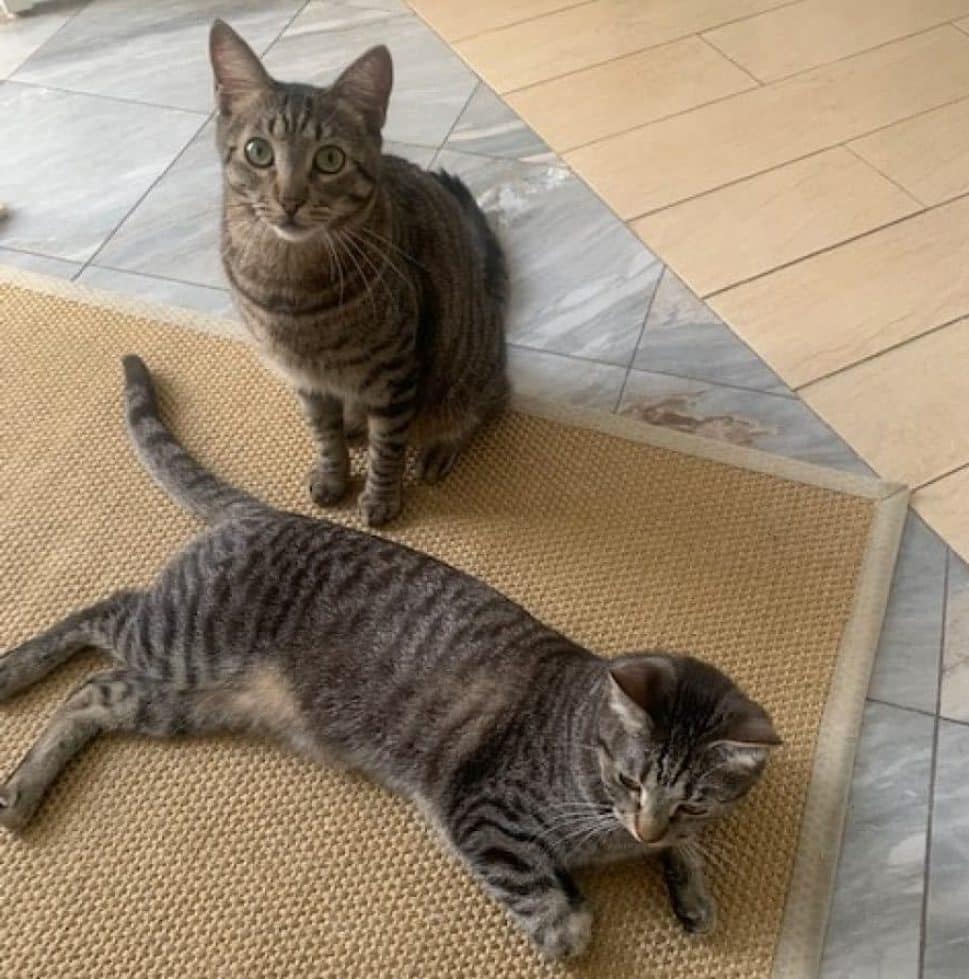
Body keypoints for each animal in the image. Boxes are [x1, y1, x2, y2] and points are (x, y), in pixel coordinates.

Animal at [0, 358, 780, 956]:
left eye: (688, 799)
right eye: (626, 778)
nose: (644, 824)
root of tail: (265, 513)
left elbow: (688, 845)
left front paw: (690, 885)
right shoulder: (482, 810)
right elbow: (551, 902)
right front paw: (571, 920)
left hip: (190, 698)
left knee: (96, 692)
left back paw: (20, 790)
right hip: (180, 638)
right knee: (101, 615)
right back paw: (14, 675)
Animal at [210, 19, 506, 528]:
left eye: (330, 159)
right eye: (258, 151)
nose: (290, 199)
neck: (288, 284)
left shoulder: (396, 373)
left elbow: (388, 446)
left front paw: (381, 498)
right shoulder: (307, 380)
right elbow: (324, 434)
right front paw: (334, 475)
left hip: (468, 367)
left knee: (487, 402)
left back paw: (440, 446)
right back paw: (352, 423)